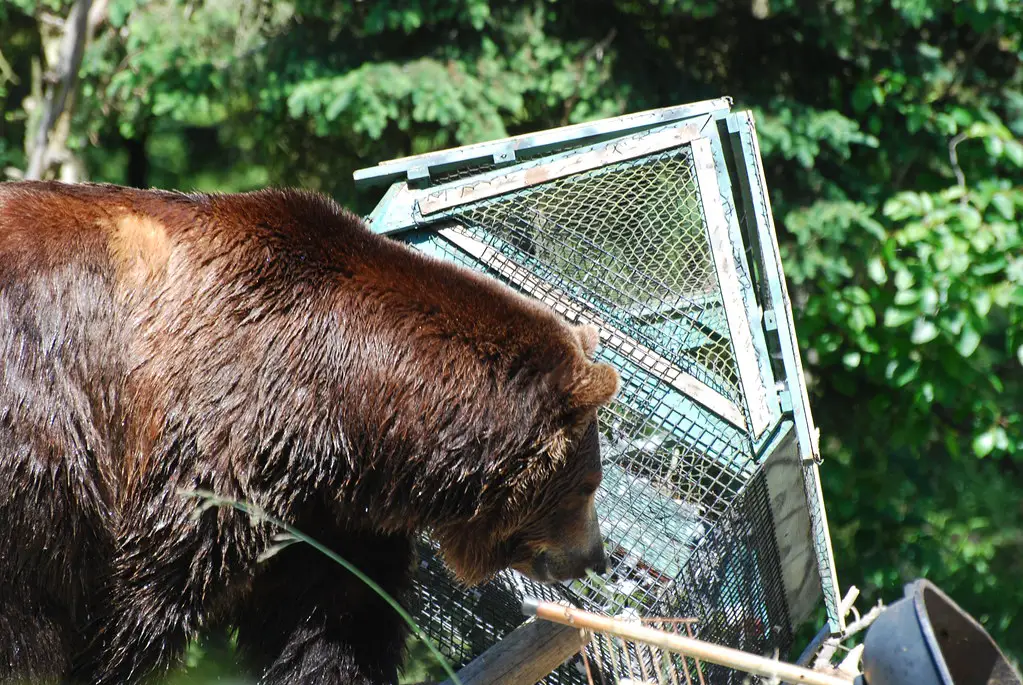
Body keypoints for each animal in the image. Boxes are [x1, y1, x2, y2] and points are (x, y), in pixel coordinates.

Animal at [0, 180, 617, 685]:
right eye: (589, 486)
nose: (596, 557)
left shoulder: (330, 514)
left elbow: (337, 624)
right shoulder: (211, 450)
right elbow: (143, 604)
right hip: (44, 428)